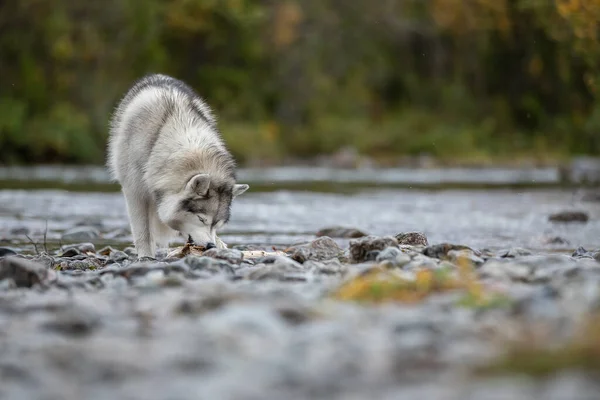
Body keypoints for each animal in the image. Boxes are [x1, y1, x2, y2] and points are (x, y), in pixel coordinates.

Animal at [106, 73, 247, 258]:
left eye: (216, 224)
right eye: (201, 219)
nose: (210, 246)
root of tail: (158, 75)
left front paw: (218, 242)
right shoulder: (135, 192)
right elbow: (143, 232)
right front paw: (145, 256)